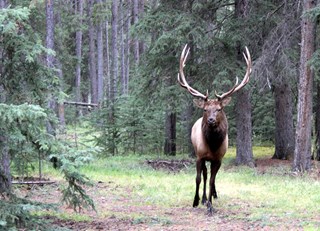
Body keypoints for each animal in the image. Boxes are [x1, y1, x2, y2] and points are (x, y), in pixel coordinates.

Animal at [176, 44, 251, 214]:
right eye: (205, 109)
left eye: (219, 109)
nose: (210, 120)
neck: (213, 144)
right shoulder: (199, 156)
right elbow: (198, 178)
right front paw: (196, 201)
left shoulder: (219, 159)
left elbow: (212, 180)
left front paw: (210, 205)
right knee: (204, 174)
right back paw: (203, 198)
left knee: (211, 178)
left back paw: (213, 195)